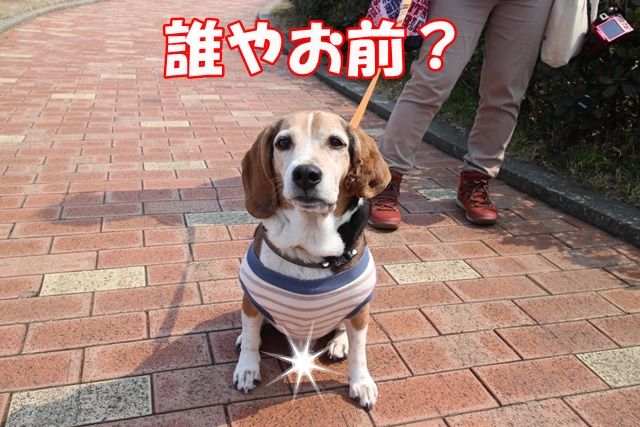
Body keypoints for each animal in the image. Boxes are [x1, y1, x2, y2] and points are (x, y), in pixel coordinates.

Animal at [233, 110, 391, 410]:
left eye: (336, 142)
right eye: (283, 142)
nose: (306, 174)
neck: (308, 247)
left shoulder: (359, 310)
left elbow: (360, 352)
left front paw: (361, 382)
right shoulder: (251, 302)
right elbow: (249, 339)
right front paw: (247, 367)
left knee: (342, 331)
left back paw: (339, 343)